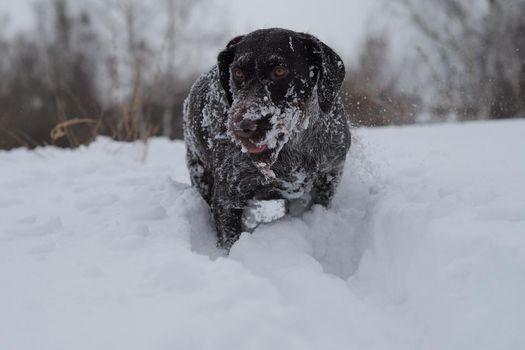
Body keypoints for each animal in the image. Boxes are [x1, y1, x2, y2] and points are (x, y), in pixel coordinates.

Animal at [182, 28, 350, 250]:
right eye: (238, 73)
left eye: (279, 71)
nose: (243, 126)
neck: (293, 148)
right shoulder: (228, 198)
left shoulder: (328, 178)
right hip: (199, 173)